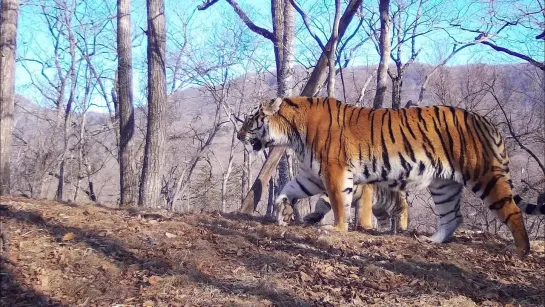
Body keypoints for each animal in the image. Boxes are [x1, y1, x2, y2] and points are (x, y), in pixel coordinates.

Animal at [238, 97, 536, 256]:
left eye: (251, 119)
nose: (239, 135)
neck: (292, 134)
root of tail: (489, 123)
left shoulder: (334, 171)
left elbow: (339, 203)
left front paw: (336, 229)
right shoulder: (311, 174)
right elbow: (289, 188)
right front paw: (282, 210)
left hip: (484, 175)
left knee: (512, 211)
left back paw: (521, 250)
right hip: (444, 185)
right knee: (452, 216)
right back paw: (432, 240)